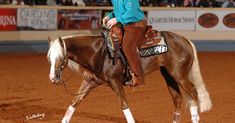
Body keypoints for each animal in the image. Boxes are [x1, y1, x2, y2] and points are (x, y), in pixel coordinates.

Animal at [46, 29, 212, 122]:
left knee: (193, 93)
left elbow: (124, 106)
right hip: (169, 75)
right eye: (49, 58)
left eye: (60, 57)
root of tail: (185, 40)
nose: (53, 78)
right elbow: (74, 104)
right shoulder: (89, 82)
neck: (97, 52)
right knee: (177, 99)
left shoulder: (115, 82)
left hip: (180, 75)